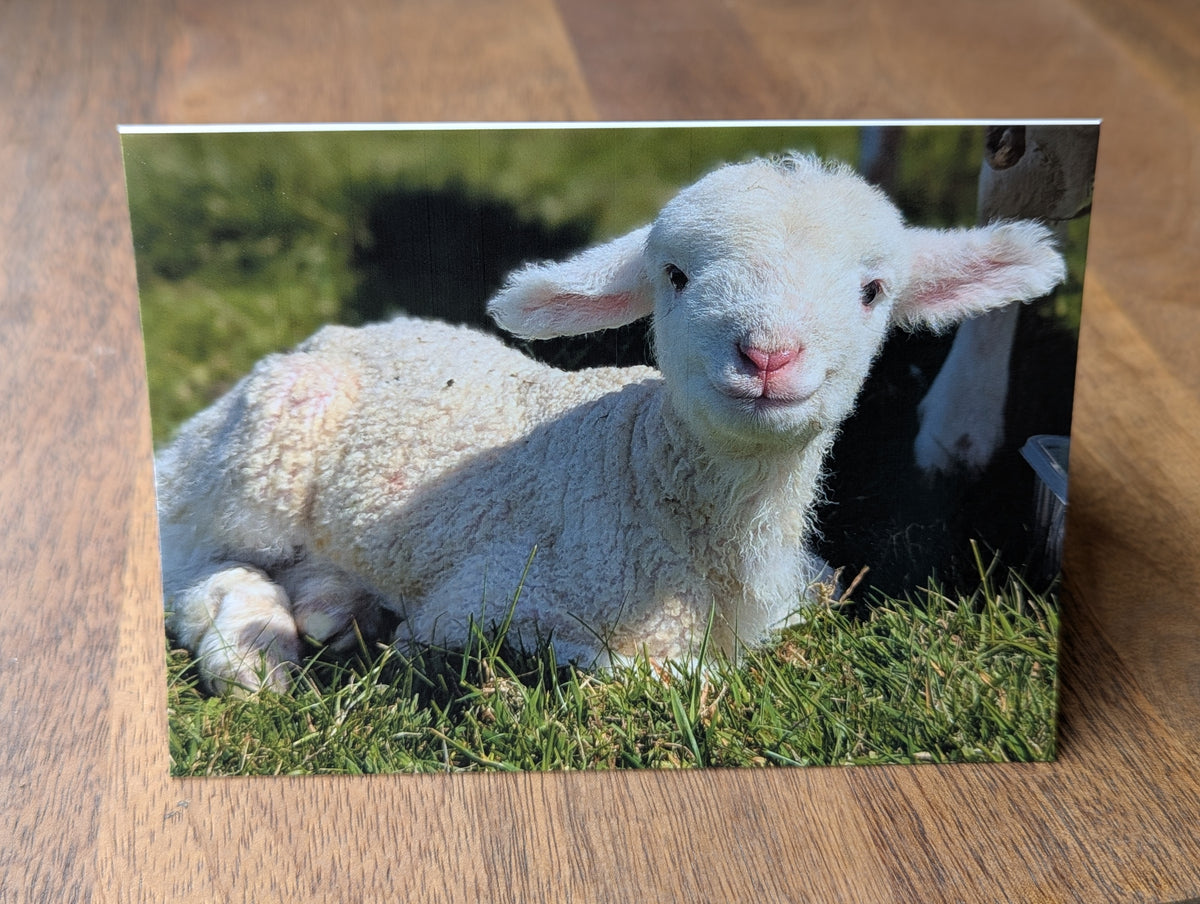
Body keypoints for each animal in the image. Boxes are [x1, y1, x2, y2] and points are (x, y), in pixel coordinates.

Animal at [156, 152, 1067, 694]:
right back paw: (252, 649)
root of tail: (328, 334)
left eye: (873, 290)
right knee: (190, 560)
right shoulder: (490, 603)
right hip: (256, 450)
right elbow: (656, 674)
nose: (767, 355)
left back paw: (331, 606)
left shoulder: (803, 591)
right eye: (675, 275)